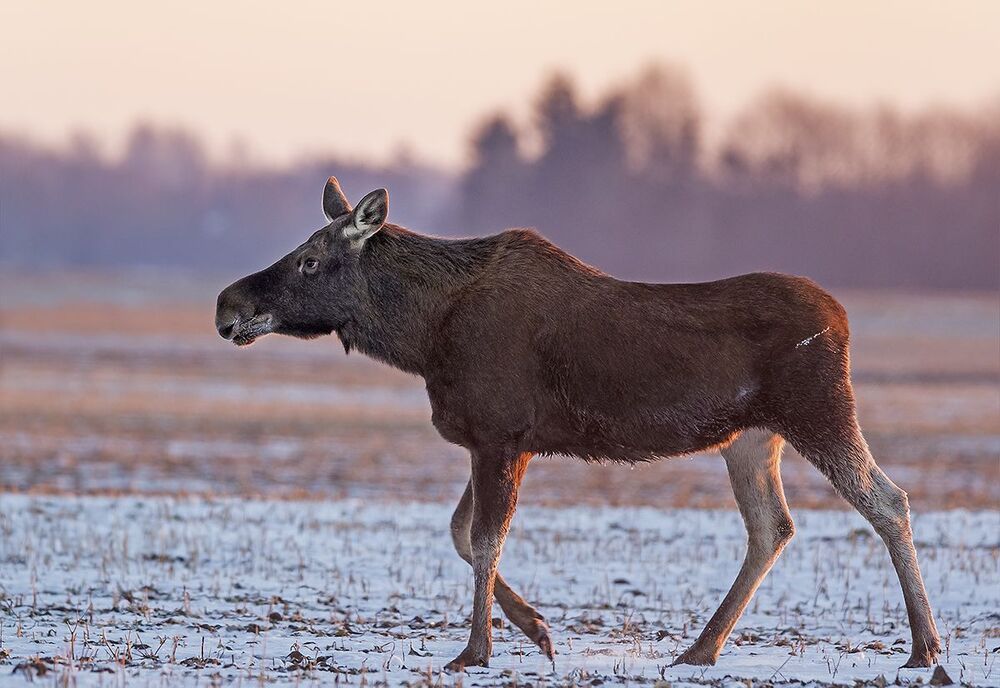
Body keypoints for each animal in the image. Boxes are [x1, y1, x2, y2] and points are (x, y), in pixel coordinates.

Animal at [215, 177, 941, 672]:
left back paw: (924, 647)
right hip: (751, 438)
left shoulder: (499, 432)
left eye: (310, 260)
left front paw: (475, 650)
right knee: (773, 527)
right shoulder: (499, 438)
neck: (422, 336)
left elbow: (483, 539)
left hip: (818, 410)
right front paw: (535, 627)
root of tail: (843, 320)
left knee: (887, 500)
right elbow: (460, 532)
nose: (227, 304)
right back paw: (701, 648)